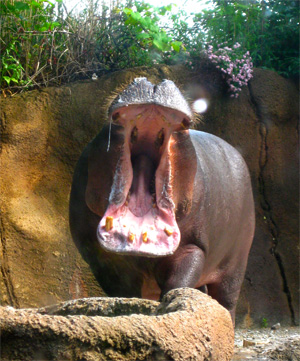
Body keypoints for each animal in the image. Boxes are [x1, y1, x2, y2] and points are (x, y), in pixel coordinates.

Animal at [69, 77, 254, 322]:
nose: (153, 82)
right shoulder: (100, 258)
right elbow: (123, 293)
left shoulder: (192, 247)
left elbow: (178, 284)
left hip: (236, 263)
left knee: (227, 301)